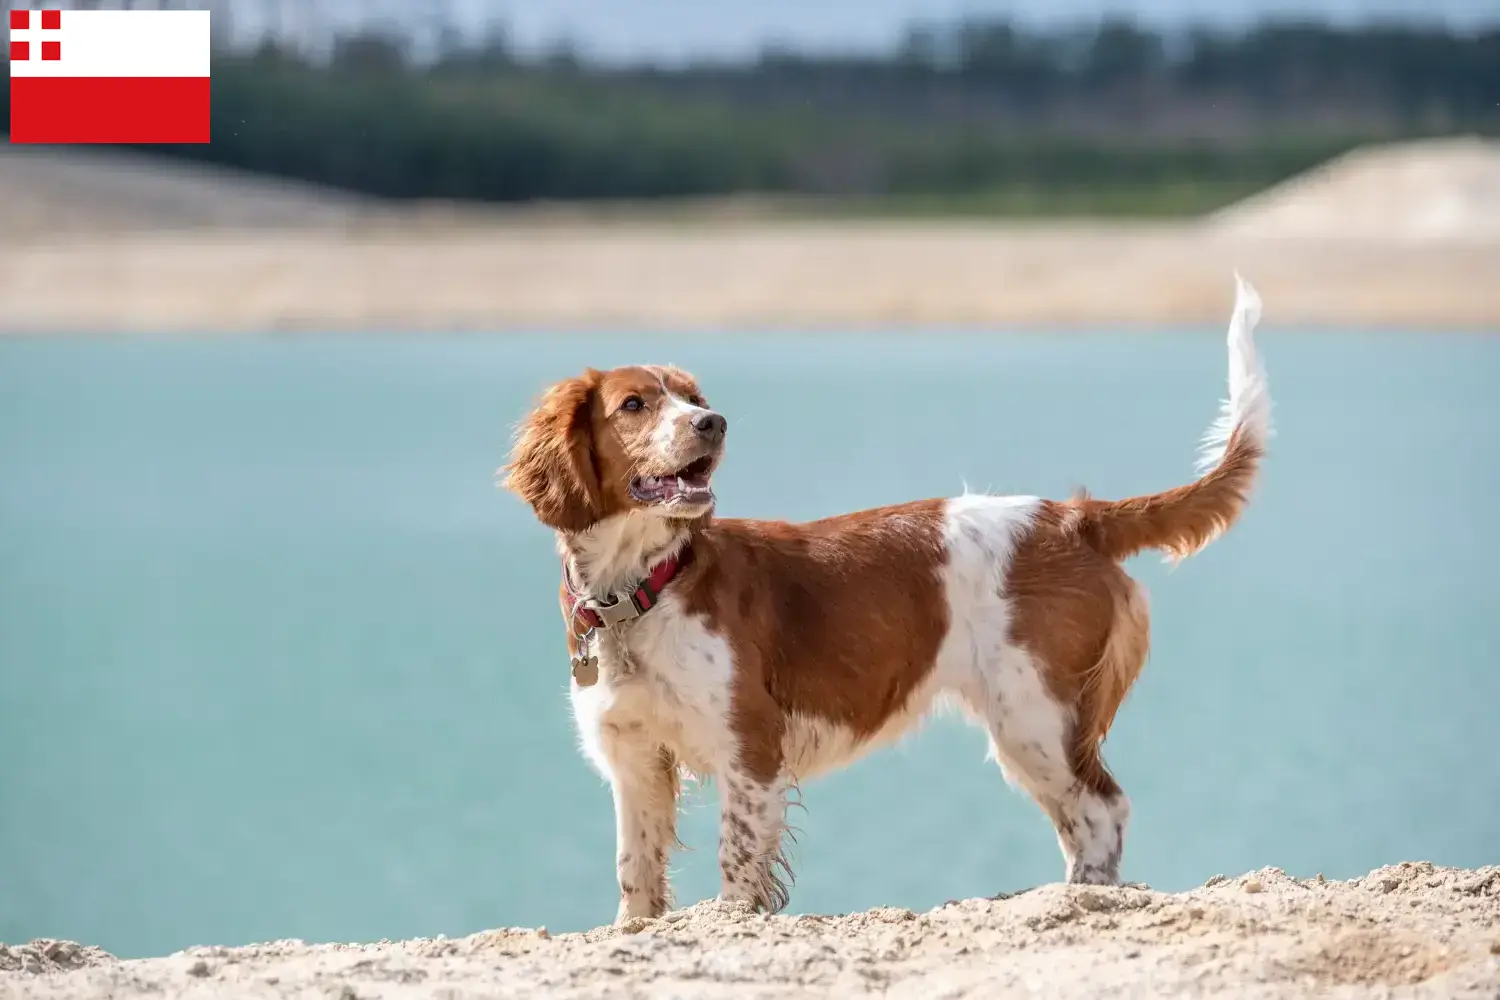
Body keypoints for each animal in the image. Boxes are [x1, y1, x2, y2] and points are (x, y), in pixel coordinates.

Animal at [504, 274, 1266, 923]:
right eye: (635, 404)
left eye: (693, 396)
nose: (712, 422)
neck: (644, 586)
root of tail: (1075, 516)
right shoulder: (633, 758)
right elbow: (636, 873)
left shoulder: (749, 745)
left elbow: (737, 864)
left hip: (1037, 715)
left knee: (1103, 810)